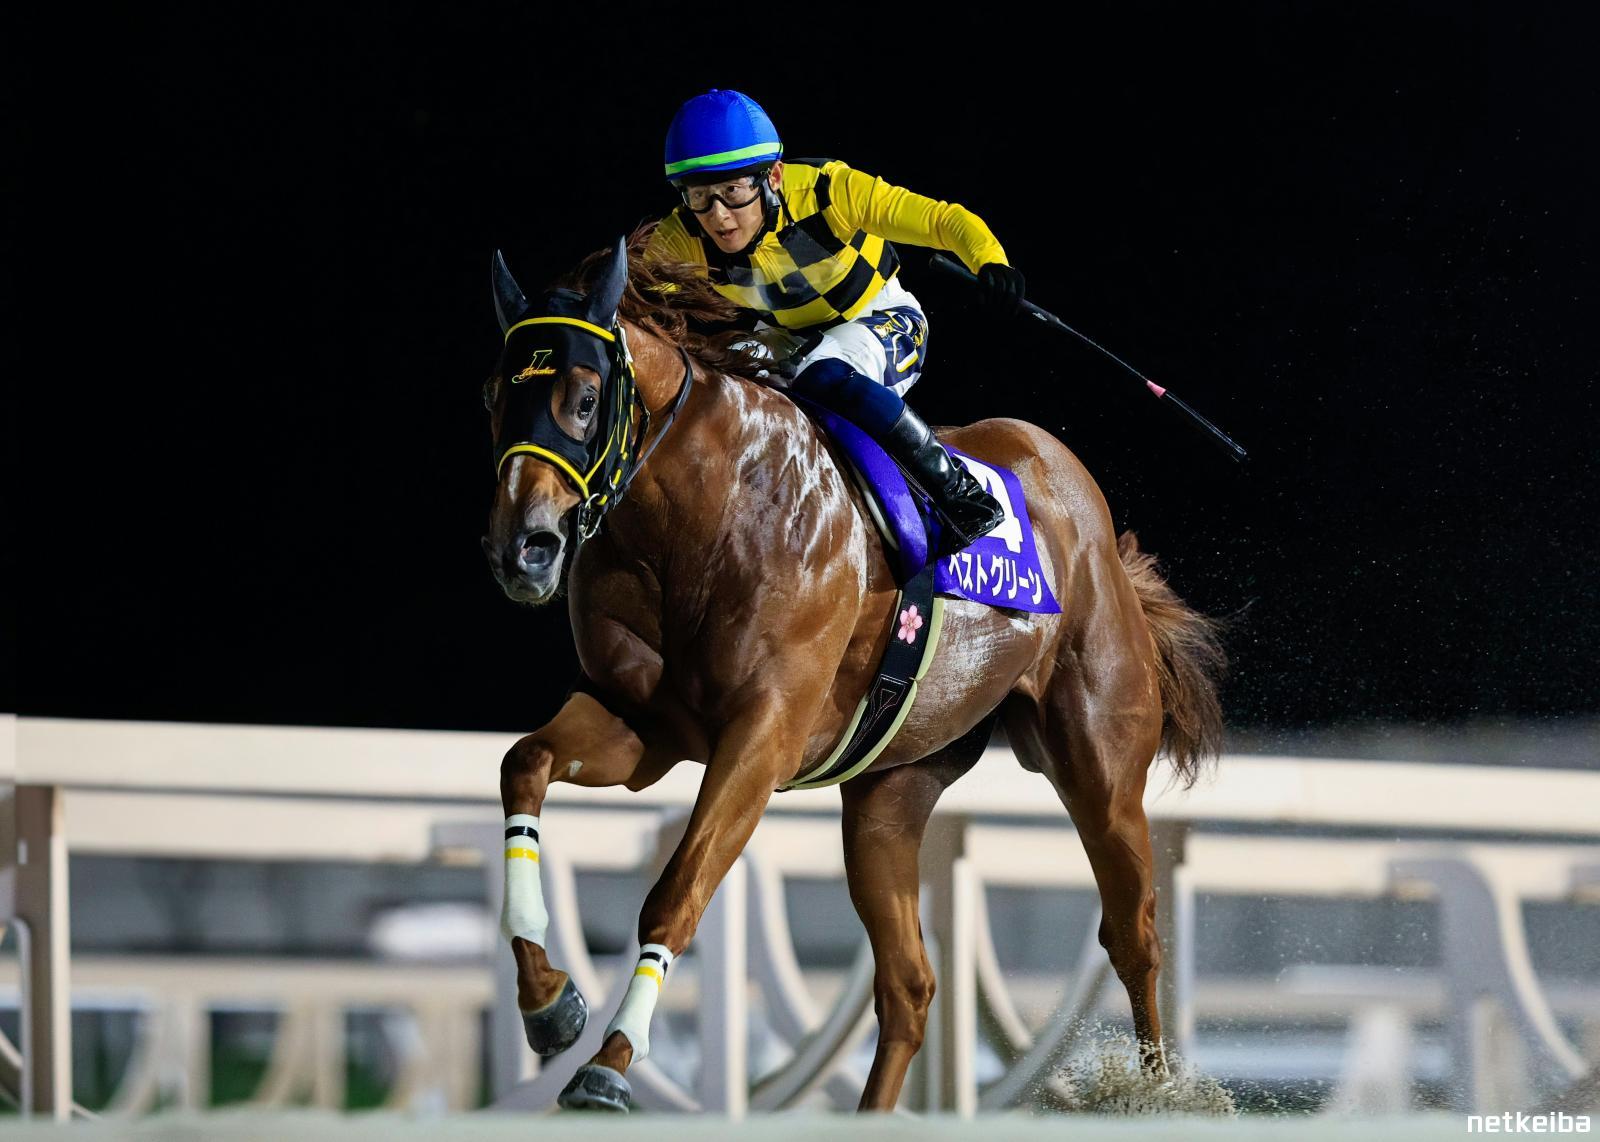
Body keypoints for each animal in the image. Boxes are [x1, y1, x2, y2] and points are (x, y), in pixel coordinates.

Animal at [479, 228, 1225, 1113]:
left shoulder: (760, 738)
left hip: (1099, 766)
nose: (522, 549)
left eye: (586, 398)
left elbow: (677, 893)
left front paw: (609, 1065)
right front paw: (549, 1004)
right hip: (888, 795)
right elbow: (524, 763)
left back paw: (1159, 1093)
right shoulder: (641, 723)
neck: (709, 511)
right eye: (493, 398)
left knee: (1133, 932)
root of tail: (1085, 507)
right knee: (909, 984)